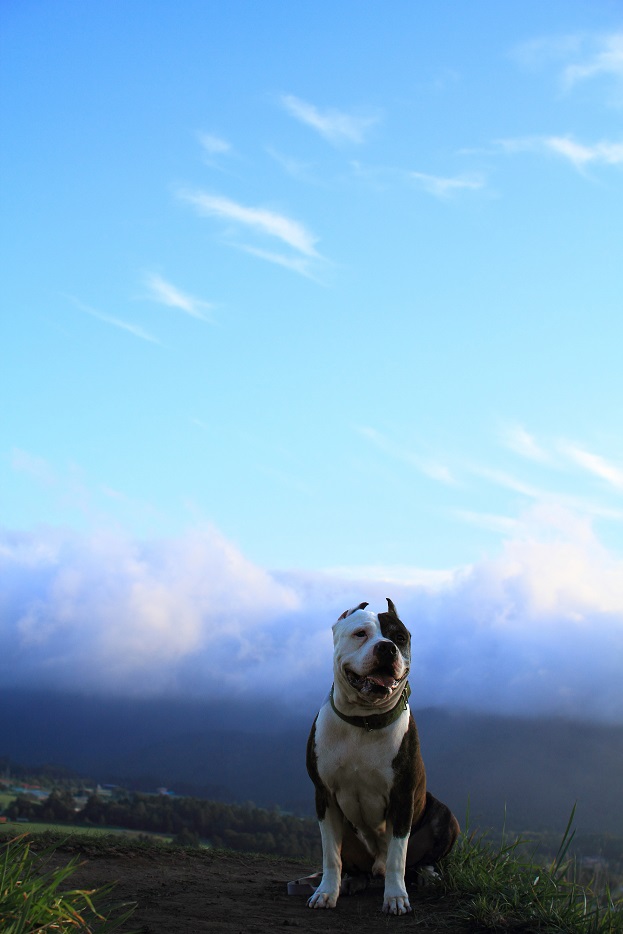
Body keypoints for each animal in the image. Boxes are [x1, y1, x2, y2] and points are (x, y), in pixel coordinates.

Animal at [306, 598, 459, 915]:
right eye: (360, 634)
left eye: (399, 637)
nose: (387, 648)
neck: (363, 721)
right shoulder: (324, 796)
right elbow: (331, 856)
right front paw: (326, 892)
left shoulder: (402, 797)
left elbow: (397, 857)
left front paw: (396, 897)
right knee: (356, 865)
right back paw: (352, 880)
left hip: (445, 816)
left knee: (412, 862)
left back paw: (425, 875)